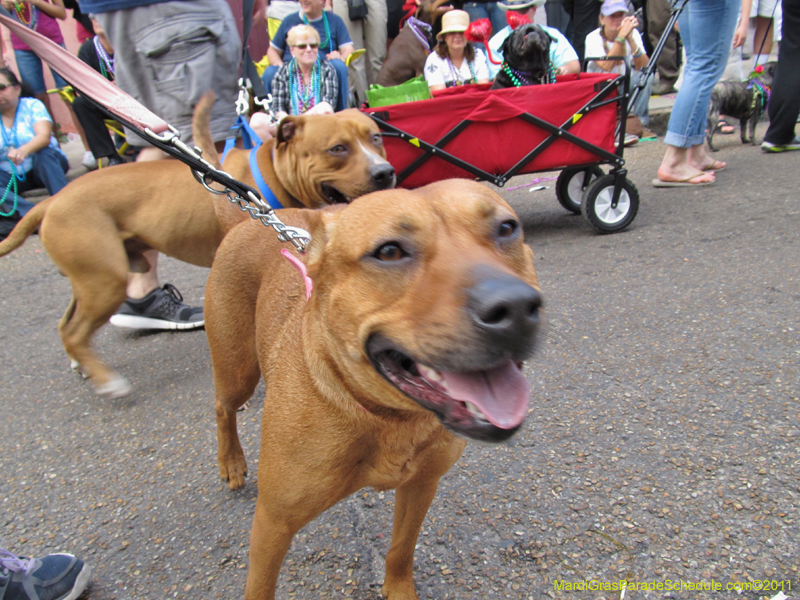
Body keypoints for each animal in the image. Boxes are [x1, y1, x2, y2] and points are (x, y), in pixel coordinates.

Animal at [0, 106, 396, 398]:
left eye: (375, 138)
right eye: (337, 149)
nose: (385, 172)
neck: (271, 170)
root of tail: (51, 201)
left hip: (88, 279)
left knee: (66, 323)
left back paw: (81, 365)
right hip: (105, 282)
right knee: (75, 330)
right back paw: (108, 381)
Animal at [206, 179, 544, 600]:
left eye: (506, 228)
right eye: (389, 251)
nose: (515, 307)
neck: (392, 418)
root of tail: (250, 216)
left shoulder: (421, 486)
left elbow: (401, 549)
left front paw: (398, 589)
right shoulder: (273, 524)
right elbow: (260, 588)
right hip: (237, 371)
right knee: (223, 407)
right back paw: (231, 462)